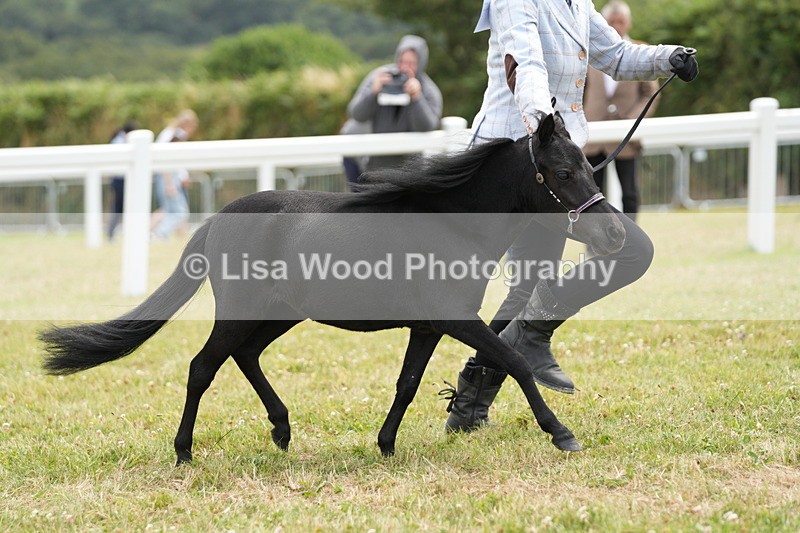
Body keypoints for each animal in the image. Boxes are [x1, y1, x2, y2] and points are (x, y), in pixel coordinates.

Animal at [40, 112, 626, 465]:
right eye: (562, 171)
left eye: (588, 165)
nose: (615, 234)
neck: (452, 224)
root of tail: (218, 218)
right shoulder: (457, 321)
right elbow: (516, 361)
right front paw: (562, 434)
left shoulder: (428, 326)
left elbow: (407, 383)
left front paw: (385, 446)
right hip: (240, 312)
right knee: (203, 366)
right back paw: (185, 452)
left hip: (279, 314)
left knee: (245, 357)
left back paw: (281, 431)